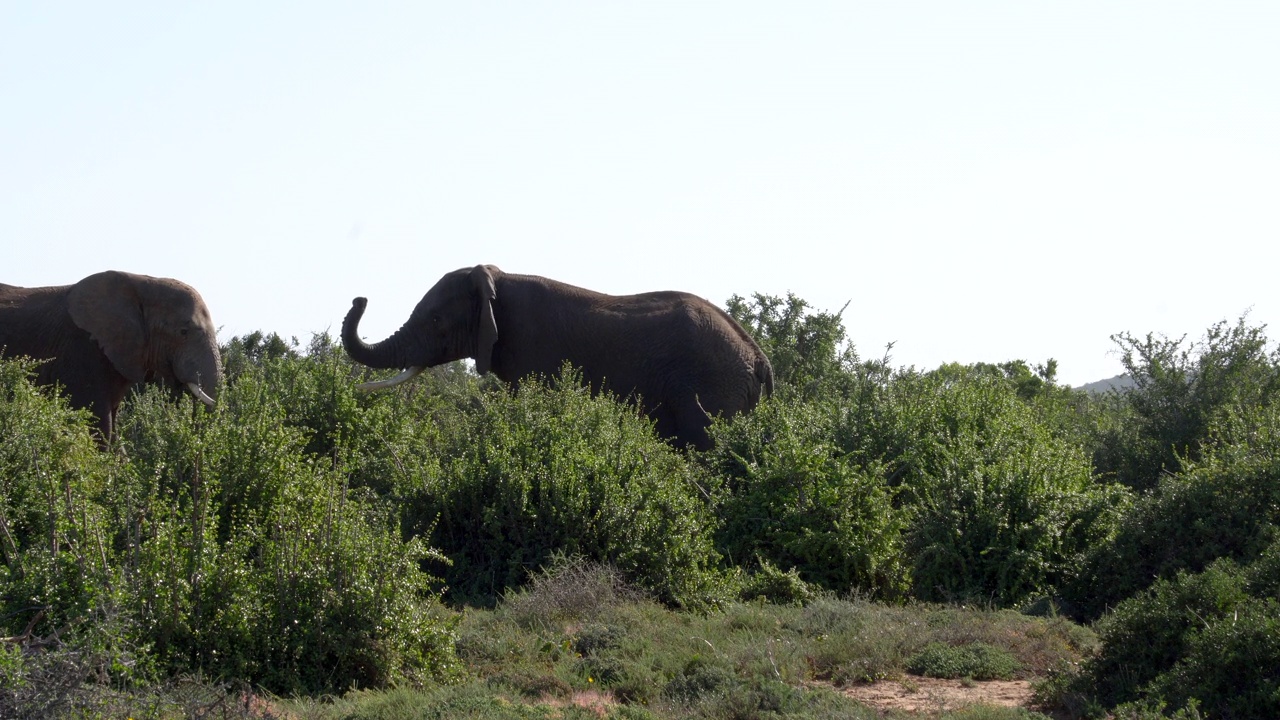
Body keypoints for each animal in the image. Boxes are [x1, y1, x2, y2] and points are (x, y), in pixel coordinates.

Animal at [340, 263, 773, 448]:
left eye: (435, 320)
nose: (360, 297)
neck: (497, 279)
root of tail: (758, 357)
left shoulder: (535, 350)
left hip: (712, 388)